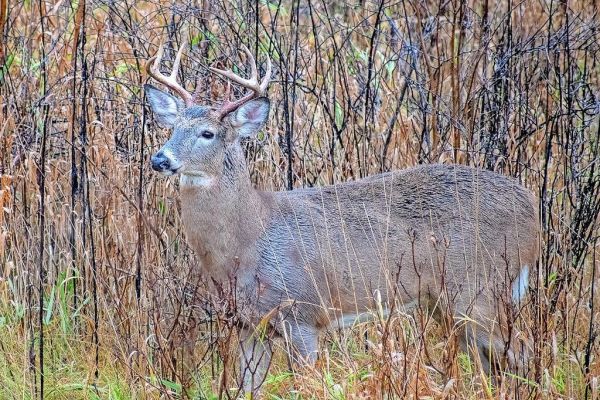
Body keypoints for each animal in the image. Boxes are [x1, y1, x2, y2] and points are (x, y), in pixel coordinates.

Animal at [145, 43, 540, 394]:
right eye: (172, 129)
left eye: (207, 133)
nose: (160, 159)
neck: (249, 239)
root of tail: (532, 209)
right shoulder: (246, 323)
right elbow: (246, 390)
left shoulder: (302, 313)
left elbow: (307, 386)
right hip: (448, 301)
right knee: (492, 362)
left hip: (480, 287)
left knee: (522, 353)